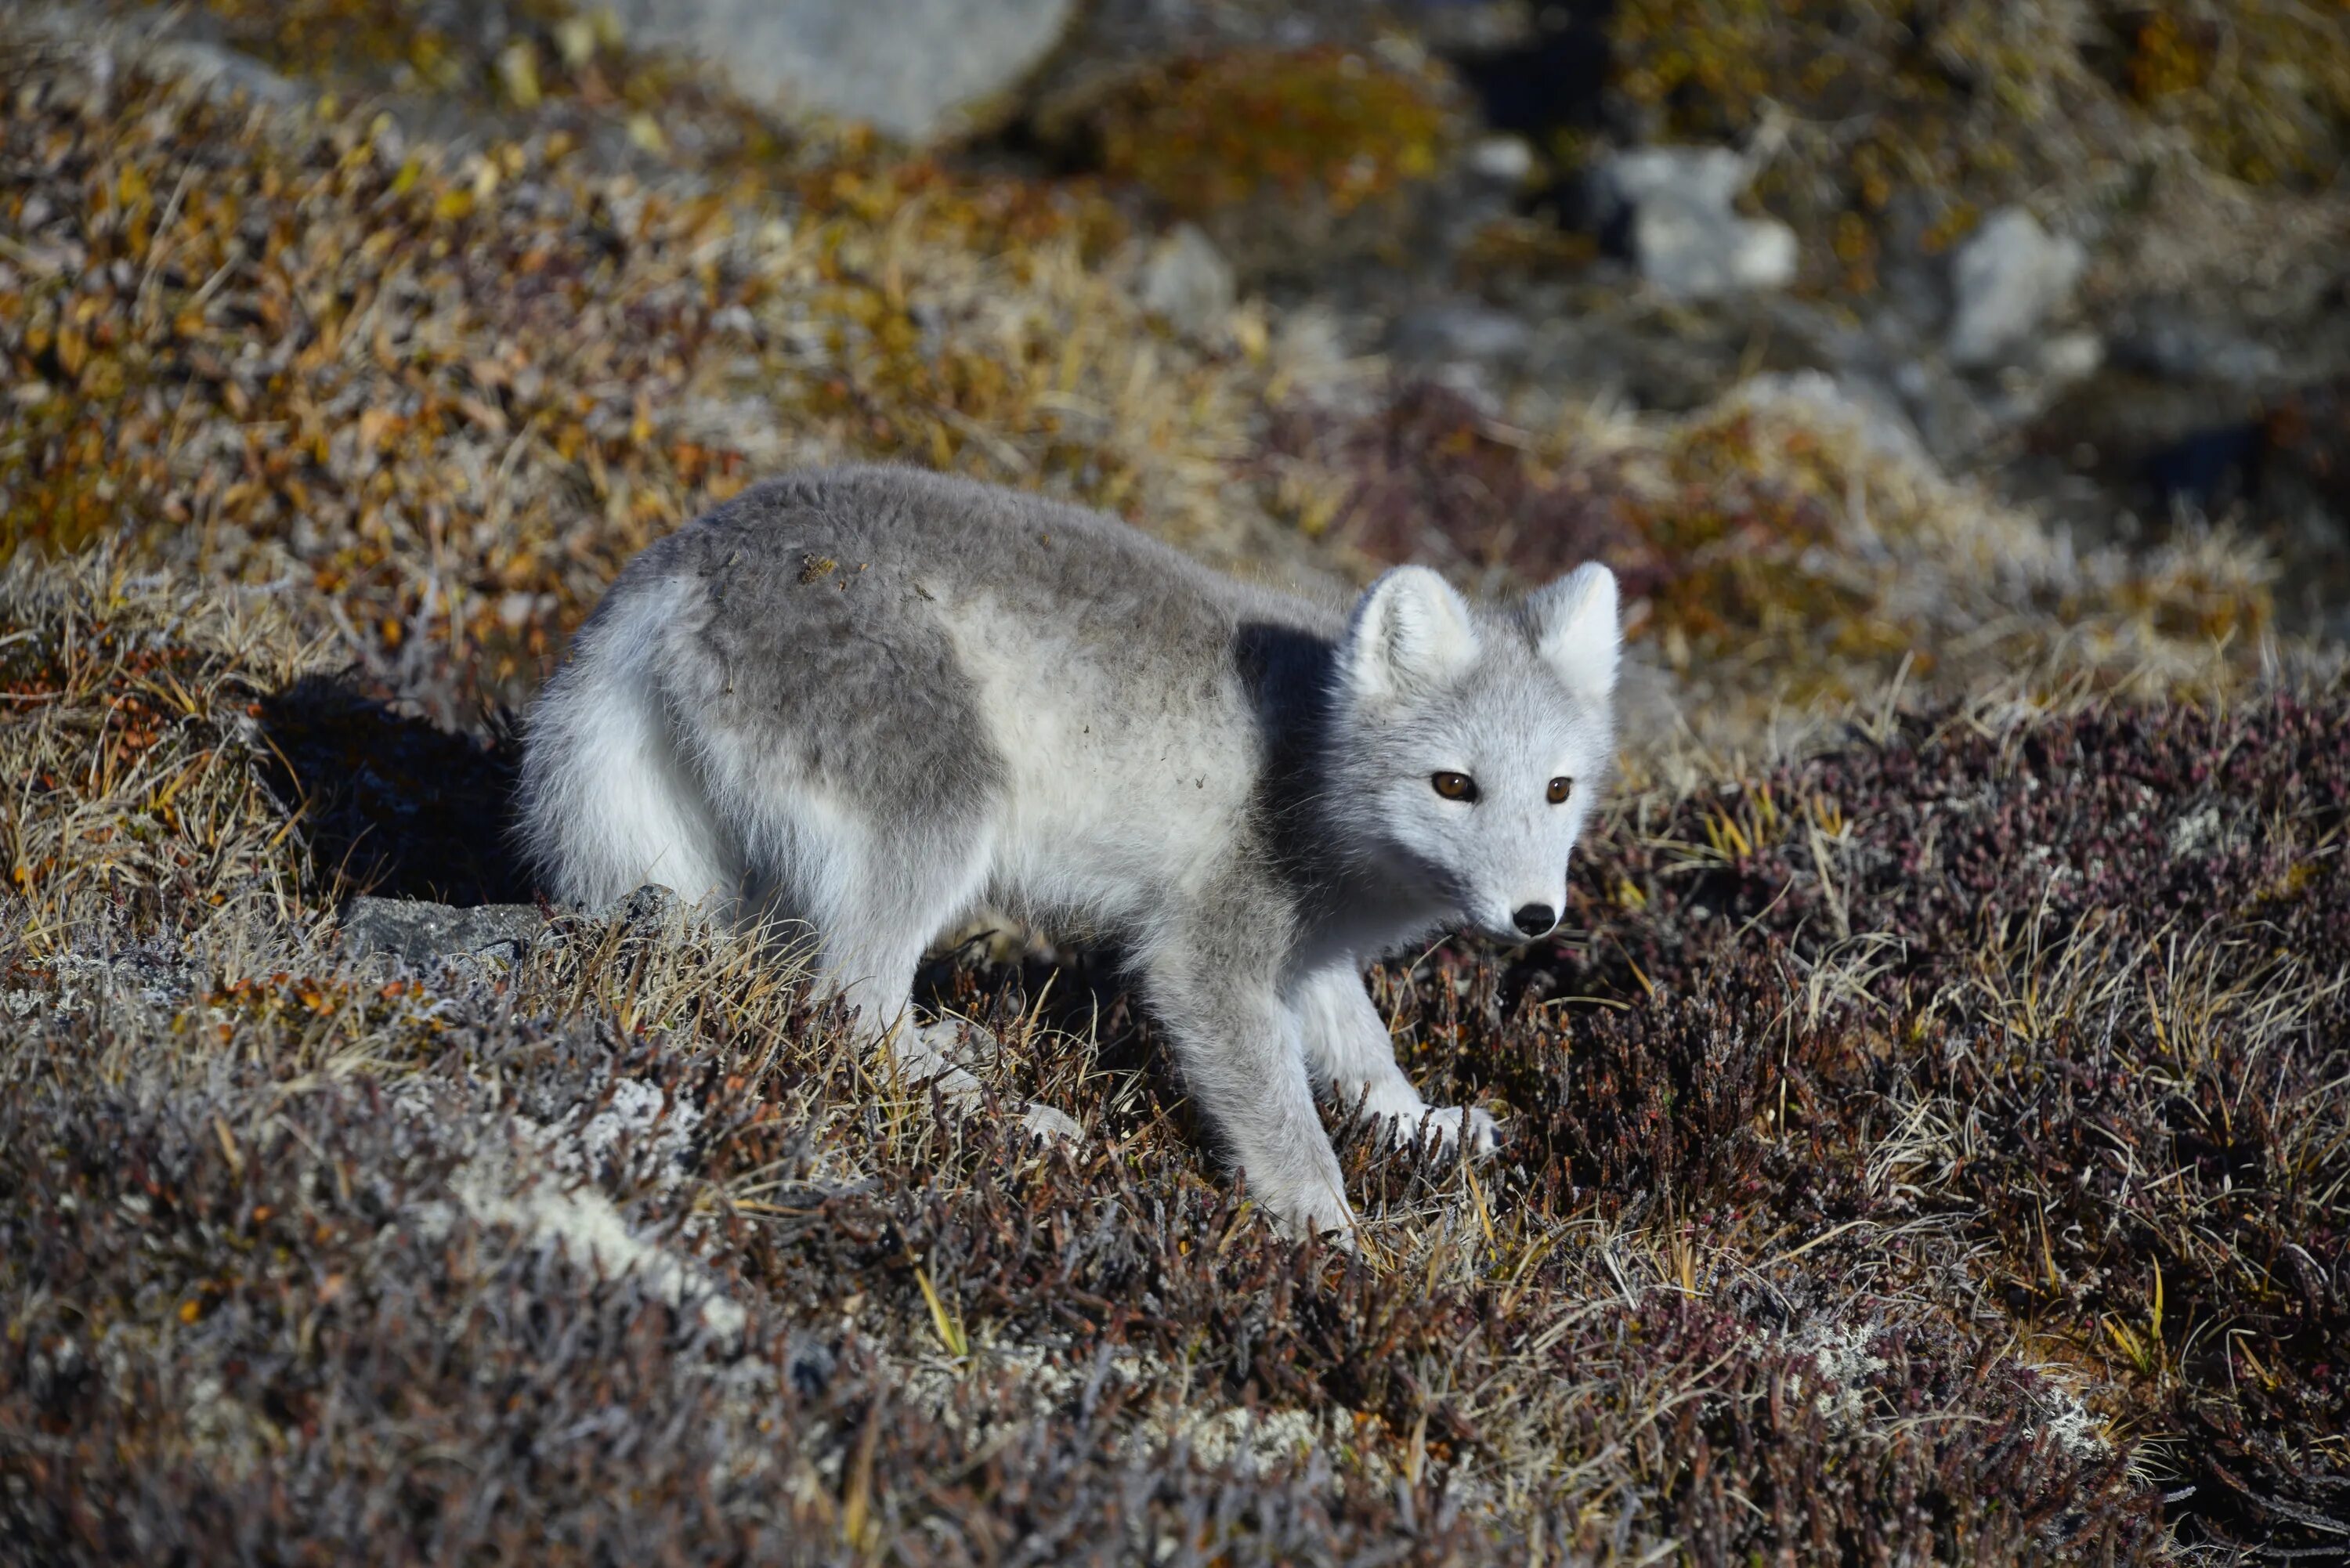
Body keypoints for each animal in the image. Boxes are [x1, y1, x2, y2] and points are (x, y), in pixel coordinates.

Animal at [517, 465, 1626, 1241]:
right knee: (847, 1003)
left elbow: (1364, 1053)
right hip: (941, 804)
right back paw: (1012, 1116)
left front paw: (1424, 1124)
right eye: (1454, 785)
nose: (1535, 917)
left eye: (1559, 789)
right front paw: (1333, 1235)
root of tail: (673, 566)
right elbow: (1281, 1109)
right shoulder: (1210, 950)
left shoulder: (1307, 950)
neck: (1313, 753)